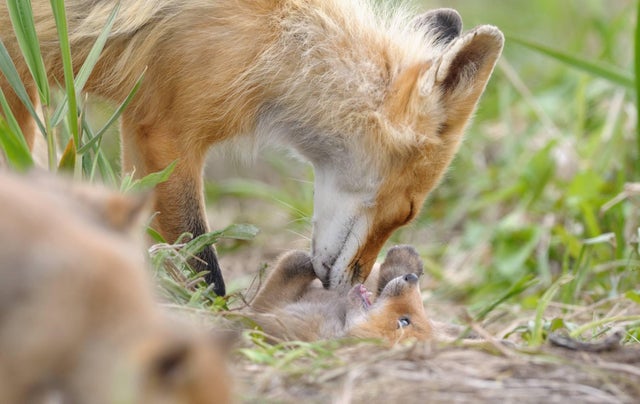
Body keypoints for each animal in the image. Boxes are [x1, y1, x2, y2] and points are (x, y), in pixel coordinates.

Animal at [0, 0, 502, 296]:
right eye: (407, 212)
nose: (355, 288)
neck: (280, 37)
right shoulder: (166, 134)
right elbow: (207, 271)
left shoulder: (138, 128)